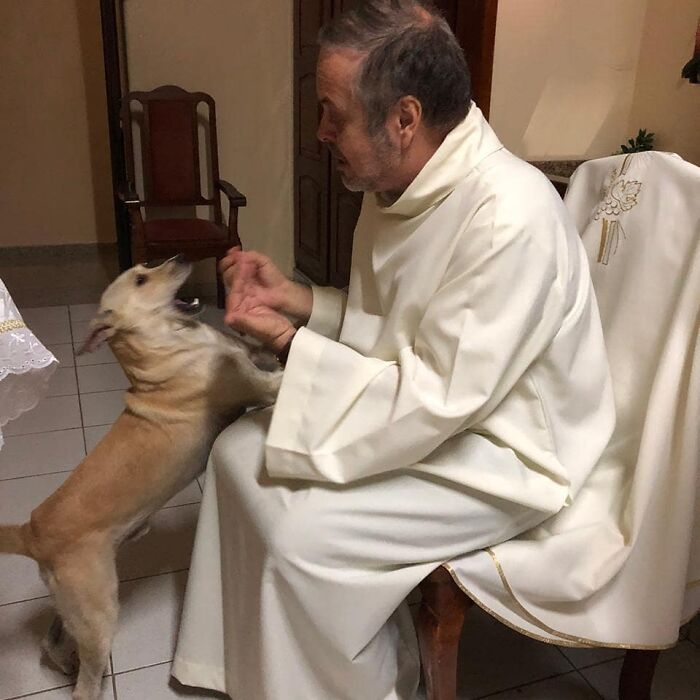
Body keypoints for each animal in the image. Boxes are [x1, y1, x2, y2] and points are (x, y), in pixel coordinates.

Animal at [0, 258, 278, 700]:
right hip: (97, 613)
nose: (182, 257)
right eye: (142, 279)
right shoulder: (259, 386)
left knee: (51, 640)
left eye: (145, 268)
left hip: (72, 605)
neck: (176, 341)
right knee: (84, 683)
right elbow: (280, 374)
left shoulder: (245, 355)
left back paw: (64, 661)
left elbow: (259, 346)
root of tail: (32, 531)